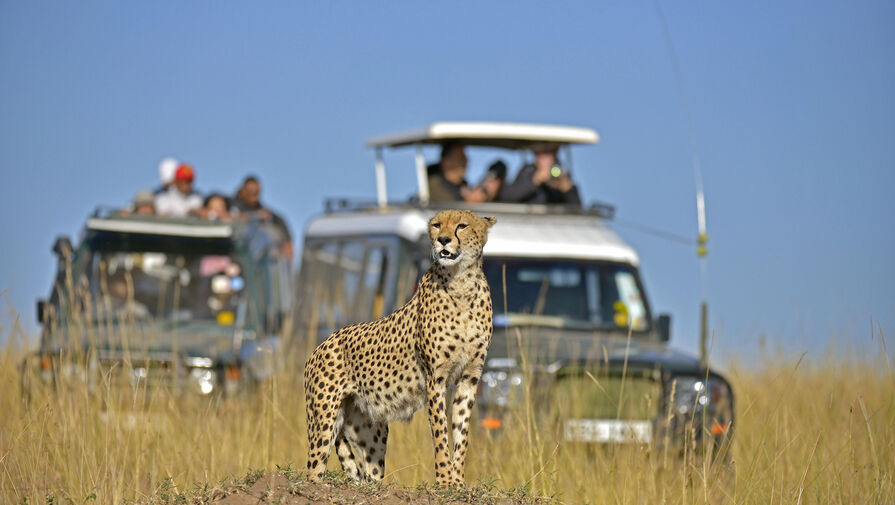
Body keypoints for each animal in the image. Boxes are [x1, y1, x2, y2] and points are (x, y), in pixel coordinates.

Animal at [302, 208, 496, 484]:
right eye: (437, 225)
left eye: (462, 225)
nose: (443, 240)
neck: (462, 282)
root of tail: (321, 344)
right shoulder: (435, 379)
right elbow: (440, 434)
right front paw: (444, 479)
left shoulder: (469, 377)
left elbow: (461, 433)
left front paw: (458, 480)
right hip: (323, 422)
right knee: (313, 468)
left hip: (370, 431)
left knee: (370, 474)